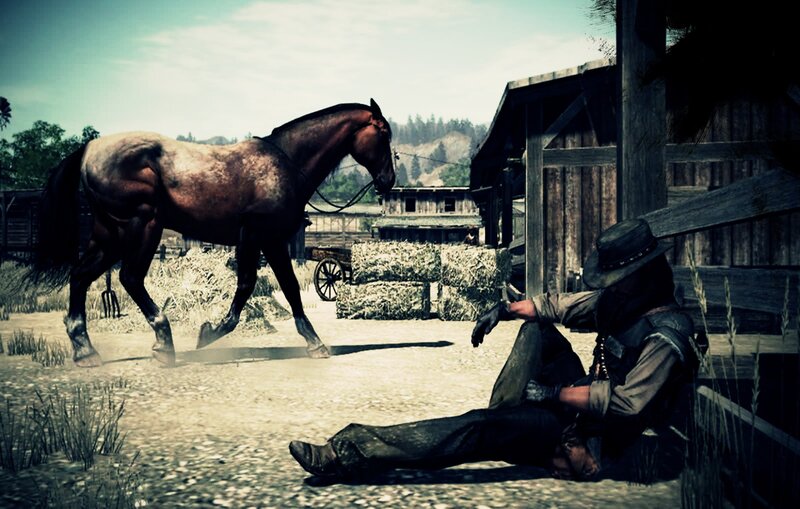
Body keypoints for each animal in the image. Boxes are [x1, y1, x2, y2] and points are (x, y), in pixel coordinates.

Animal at [32, 99, 395, 367]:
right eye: (384, 133)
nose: (388, 180)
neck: (286, 163)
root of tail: (90, 150)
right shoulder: (257, 235)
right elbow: (248, 286)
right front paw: (210, 332)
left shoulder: (271, 240)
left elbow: (290, 289)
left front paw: (314, 342)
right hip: (141, 227)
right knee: (129, 278)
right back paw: (163, 343)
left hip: (109, 234)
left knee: (81, 276)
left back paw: (85, 350)